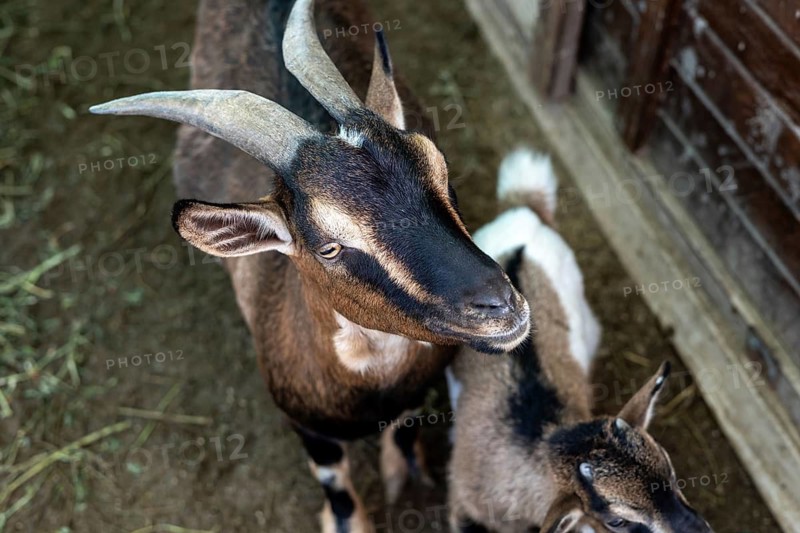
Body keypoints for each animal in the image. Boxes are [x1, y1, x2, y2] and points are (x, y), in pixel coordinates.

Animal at [89, 0, 530, 530]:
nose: (501, 304)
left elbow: (405, 433)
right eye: (329, 248)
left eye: (443, 175)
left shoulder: (414, 392)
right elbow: (335, 486)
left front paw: (402, 474)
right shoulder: (305, 426)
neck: (369, 387)